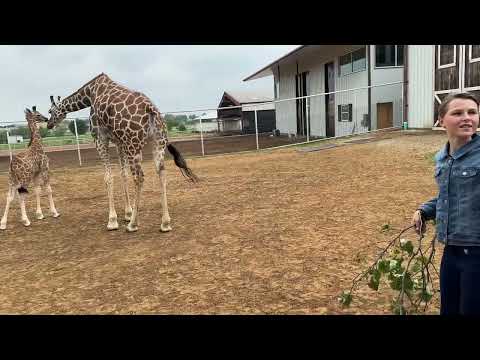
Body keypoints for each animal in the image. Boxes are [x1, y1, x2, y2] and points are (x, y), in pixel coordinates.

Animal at [47, 72, 198, 233]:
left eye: (50, 111)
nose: (49, 124)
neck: (89, 94)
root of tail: (151, 110)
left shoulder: (100, 138)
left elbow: (108, 177)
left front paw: (113, 220)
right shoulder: (119, 142)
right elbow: (123, 174)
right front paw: (127, 213)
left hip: (134, 146)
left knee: (139, 177)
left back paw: (133, 224)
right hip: (158, 143)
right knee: (161, 172)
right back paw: (165, 223)